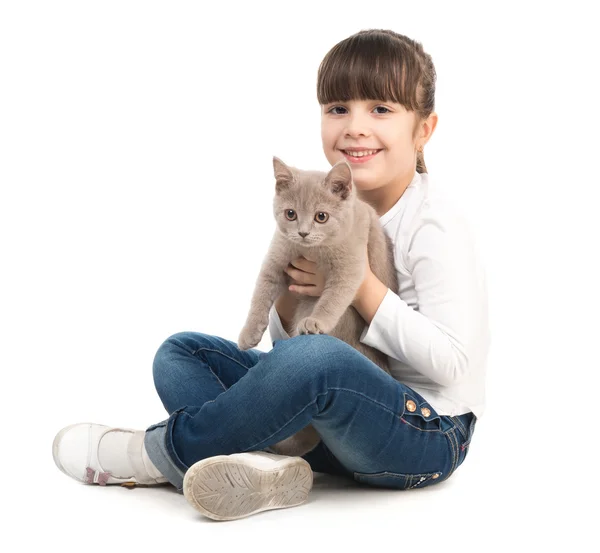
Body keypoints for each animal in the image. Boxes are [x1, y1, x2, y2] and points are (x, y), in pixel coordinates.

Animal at [238, 156, 398, 458]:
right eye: (290, 214)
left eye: (321, 217)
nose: (302, 232)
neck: (311, 251)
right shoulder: (276, 260)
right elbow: (259, 295)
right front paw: (249, 333)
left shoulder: (351, 267)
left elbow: (333, 297)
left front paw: (317, 321)